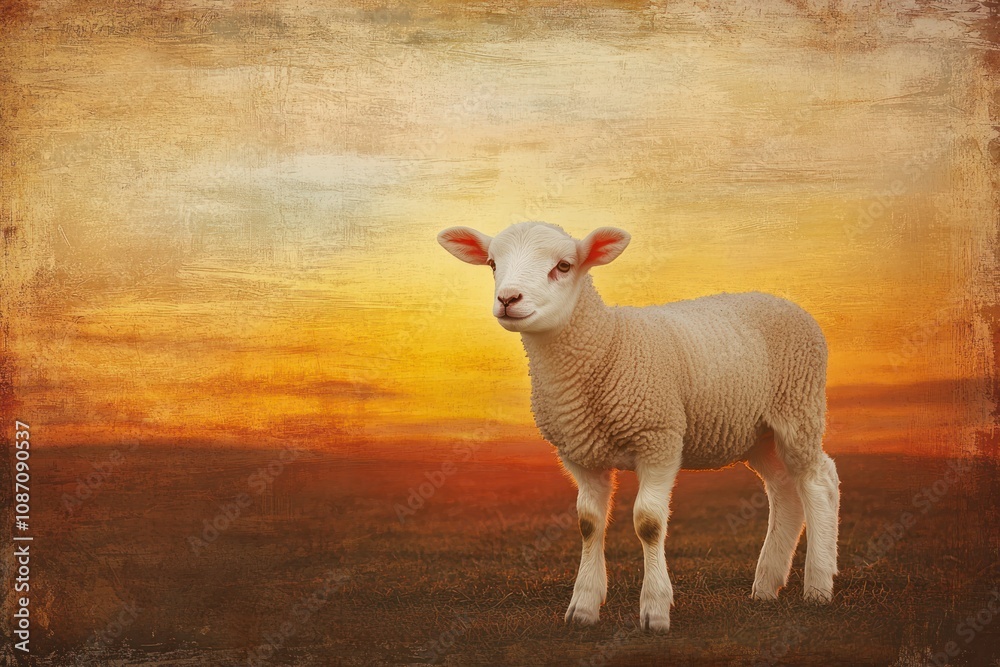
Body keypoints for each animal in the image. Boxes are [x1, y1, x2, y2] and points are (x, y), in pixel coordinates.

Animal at [437, 221, 840, 631]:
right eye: (492, 263)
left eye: (564, 266)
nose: (508, 299)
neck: (604, 345)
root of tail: (786, 302)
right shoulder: (581, 453)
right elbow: (588, 523)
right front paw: (583, 607)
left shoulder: (658, 438)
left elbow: (649, 523)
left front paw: (655, 610)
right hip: (756, 433)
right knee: (784, 490)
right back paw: (767, 586)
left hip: (798, 409)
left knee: (817, 482)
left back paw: (818, 585)